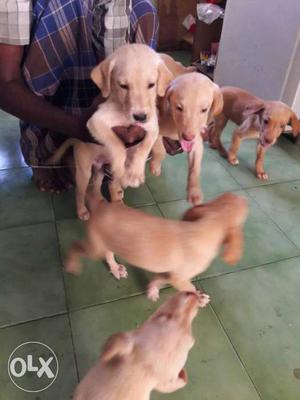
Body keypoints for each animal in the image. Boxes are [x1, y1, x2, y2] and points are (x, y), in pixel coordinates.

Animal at [48, 44, 172, 220]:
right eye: (123, 86)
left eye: (151, 85)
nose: (140, 117)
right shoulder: (95, 122)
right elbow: (118, 146)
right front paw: (121, 171)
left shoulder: (152, 126)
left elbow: (145, 147)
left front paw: (137, 172)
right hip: (83, 171)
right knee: (80, 192)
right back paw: (82, 211)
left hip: (99, 170)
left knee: (95, 184)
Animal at [65, 191, 248, 300]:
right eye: (245, 210)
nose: (246, 200)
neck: (206, 227)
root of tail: (101, 205)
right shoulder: (179, 278)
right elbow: (189, 288)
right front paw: (199, 297)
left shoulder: (171, 274)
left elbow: (159, 279)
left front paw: (152, 289)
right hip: (95, 248)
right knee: (74, 246)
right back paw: (72, 264)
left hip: (107, 243)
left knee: (109, 256)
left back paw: (116, 269)